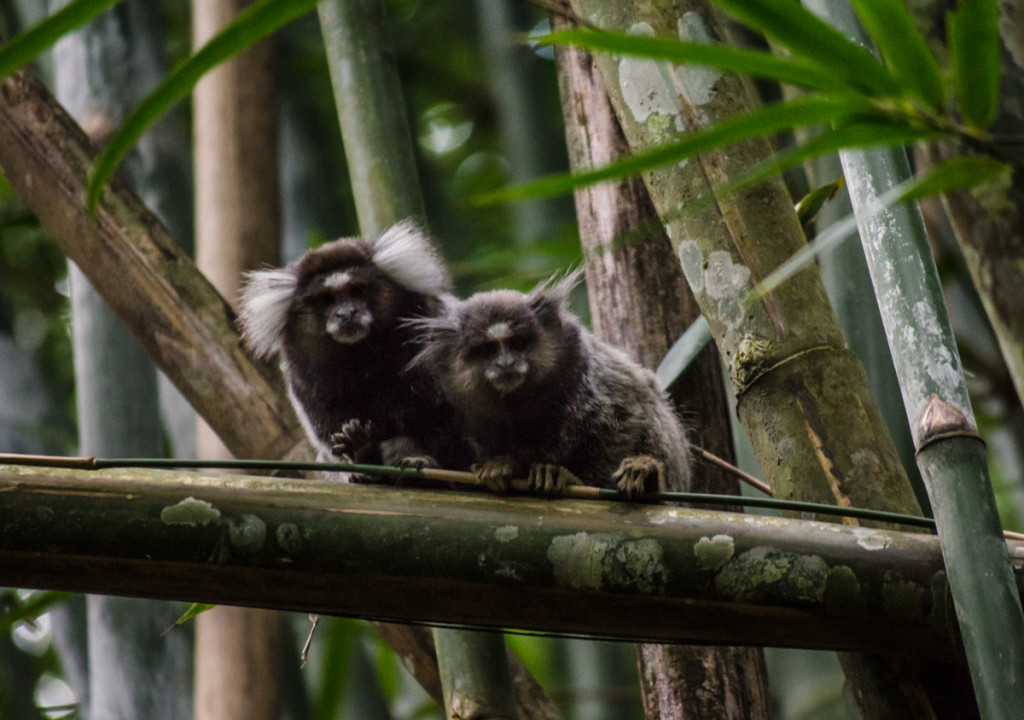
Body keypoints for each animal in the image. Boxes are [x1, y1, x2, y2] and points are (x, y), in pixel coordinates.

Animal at [237, 221, 468, 473]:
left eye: (357, 290)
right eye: (327, 299)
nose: (347, 313)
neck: (360, 355)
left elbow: (428, 402)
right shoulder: (303, 379)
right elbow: (327, 432)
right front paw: (361, 450)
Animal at [411, 272, 692, 497]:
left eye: (517, 343)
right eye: (487, 350)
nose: (506, 363)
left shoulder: (589, 376)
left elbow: (623, 420)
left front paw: (570, 477)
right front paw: (499, 467)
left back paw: (646, 476)